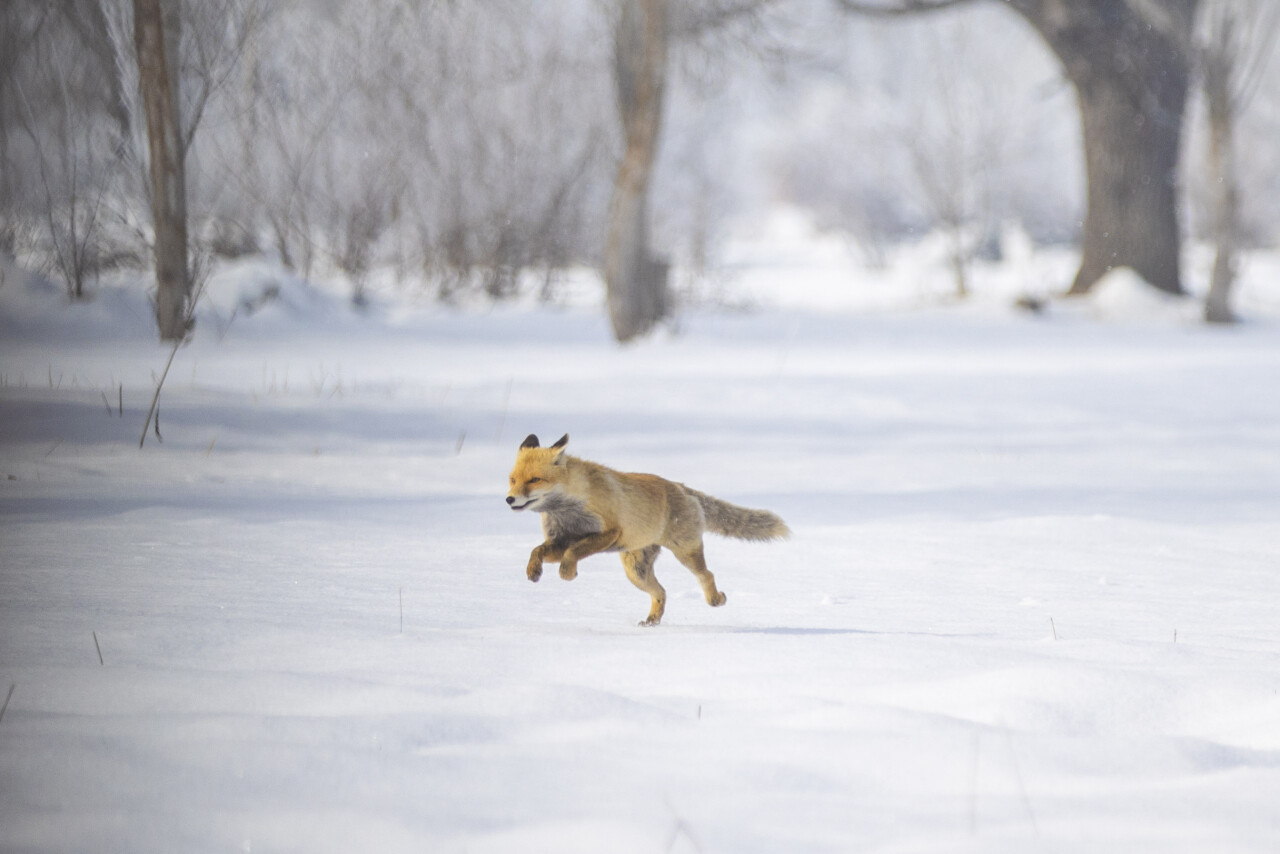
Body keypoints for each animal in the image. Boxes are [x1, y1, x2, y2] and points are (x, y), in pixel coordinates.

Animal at [501, 437, 783, 624]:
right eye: (513, 479)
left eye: (534, 480)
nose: (509, 499)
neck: (568, 507)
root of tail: (681, 487)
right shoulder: (560, 539)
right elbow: (536, 551)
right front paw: (533, 571)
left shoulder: (608, 532)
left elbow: (573, 553)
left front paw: (567, 573)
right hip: (636, 571)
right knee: (662, 592)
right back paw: (652, 620)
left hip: (685, 553)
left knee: (706, 575)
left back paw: (715, 599)